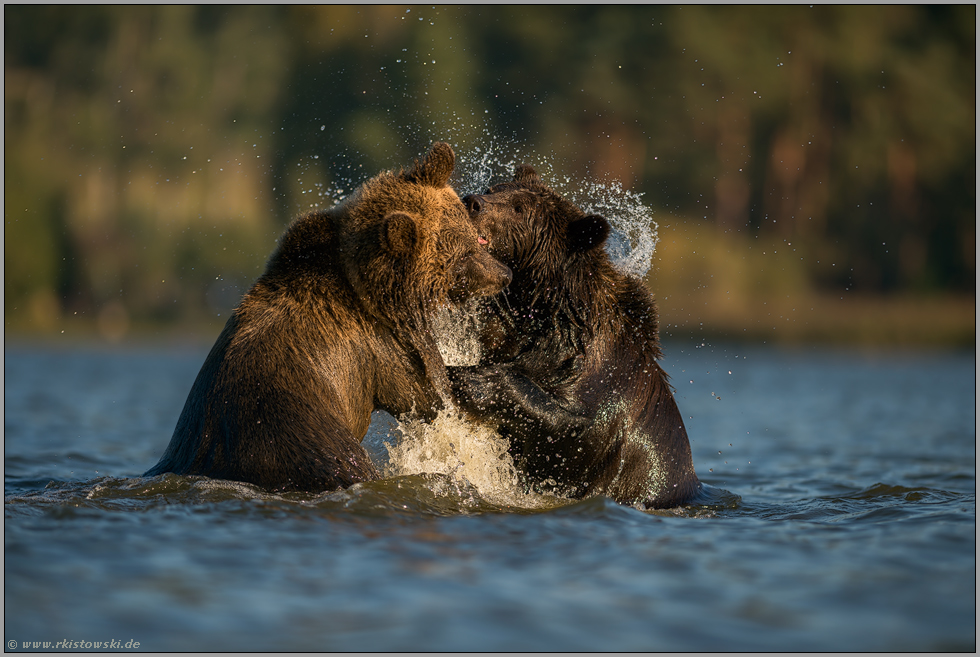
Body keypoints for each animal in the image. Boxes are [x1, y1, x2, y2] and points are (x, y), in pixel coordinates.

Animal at [148, 144, 512, 492]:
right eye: (463, 255)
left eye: (476, 238)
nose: (504, 274)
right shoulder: (382, 348)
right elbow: (430, 393)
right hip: (301, 440)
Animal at [448, 163, 700, 508]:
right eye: (493, 189)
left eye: (519, 208)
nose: (473, 202)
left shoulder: (600, 388)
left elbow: (571, 432)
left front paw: (469, 377)